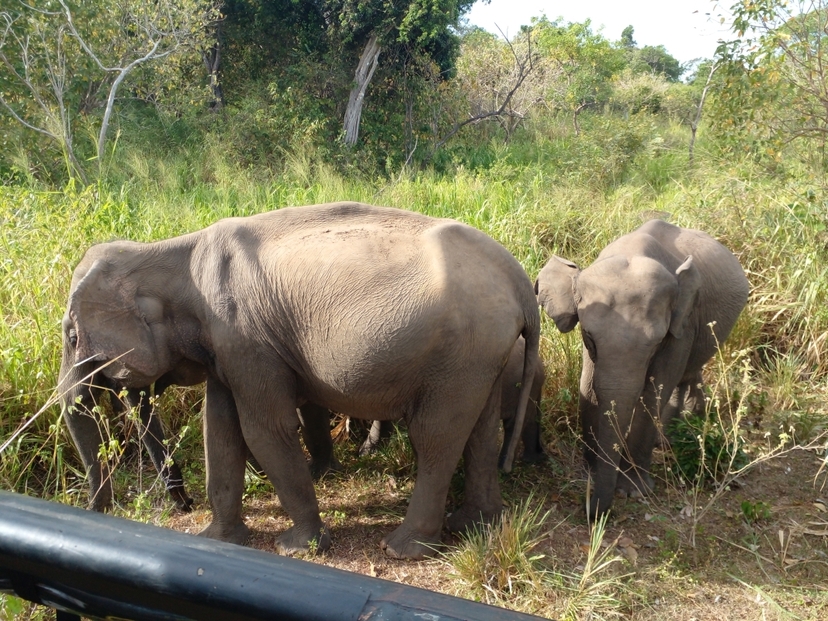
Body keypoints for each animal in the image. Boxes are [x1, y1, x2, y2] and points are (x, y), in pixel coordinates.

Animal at [535, 219, 748, 518]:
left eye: (656, 342)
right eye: (588, 336)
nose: (591, 511)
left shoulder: (681, 327)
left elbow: (652, 393)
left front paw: (633, 491)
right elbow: (588, 385)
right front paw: (592, 469)